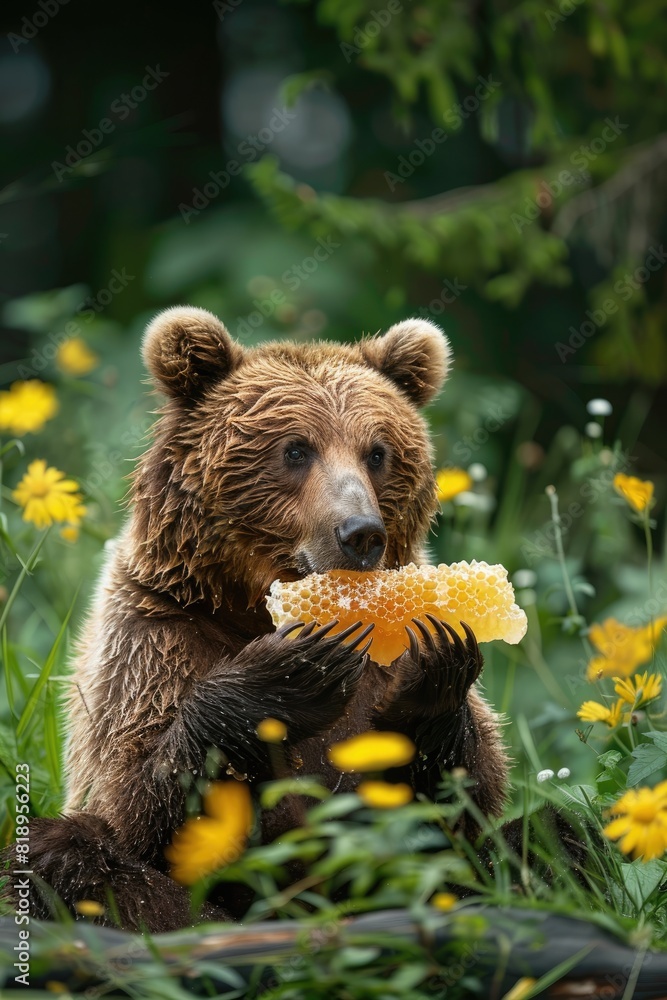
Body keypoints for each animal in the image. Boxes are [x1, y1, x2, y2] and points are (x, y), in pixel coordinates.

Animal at [1, 308, 508, 932]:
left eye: (377, 452)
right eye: (296, 449)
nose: (361, 533)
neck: (251, 605)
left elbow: (468, 800)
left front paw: (438, 661)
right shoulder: (156, 632)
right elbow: (131, 798)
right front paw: (289, 670)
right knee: (63, 854)